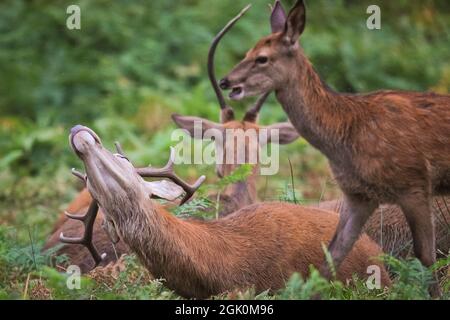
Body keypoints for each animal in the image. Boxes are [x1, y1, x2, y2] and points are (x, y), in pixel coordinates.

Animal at [219, 0, 450, 296]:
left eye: (263, 58)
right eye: (249, 50)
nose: (226, 81)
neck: (346, 132)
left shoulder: (416, 183)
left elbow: (426, 257)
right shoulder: (358, 195)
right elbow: (331, 255)